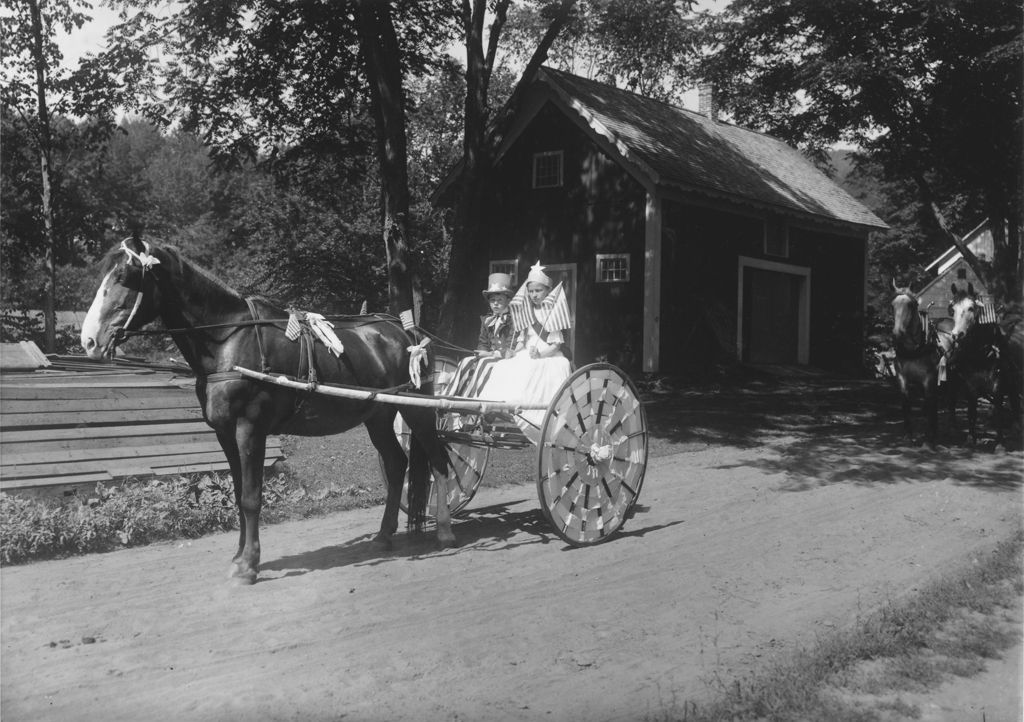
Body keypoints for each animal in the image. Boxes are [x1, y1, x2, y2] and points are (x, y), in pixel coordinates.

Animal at [81, 237, 458, 585]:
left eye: (125, 276)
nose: (89, 340)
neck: (228, 339)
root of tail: (401, 331)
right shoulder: (225, 434)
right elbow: (237, 495)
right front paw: (239, 556)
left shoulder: (250, 429)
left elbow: (251, 497)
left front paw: (249, 565)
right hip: (378, 416)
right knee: (396, 465)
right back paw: (383, 535)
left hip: (416, 411)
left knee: (438, 459)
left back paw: (444, 530)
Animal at [892, 282, 946, 444]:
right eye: (892, 305)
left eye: (910, 305)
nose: (897, 333)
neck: (914, 349)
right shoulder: (902, 378)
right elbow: (906, 403)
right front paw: (908, 434)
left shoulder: (929, 379)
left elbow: (929, 403)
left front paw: (930, 436)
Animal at [946, 282, 1019, 444]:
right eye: (952, 309)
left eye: (971, 308)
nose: (956, 335)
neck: (979, 355)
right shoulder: (969, 385)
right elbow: (971, 411)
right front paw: (971, 437)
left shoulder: (998, 386)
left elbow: (998, 410)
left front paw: (1000, 442)